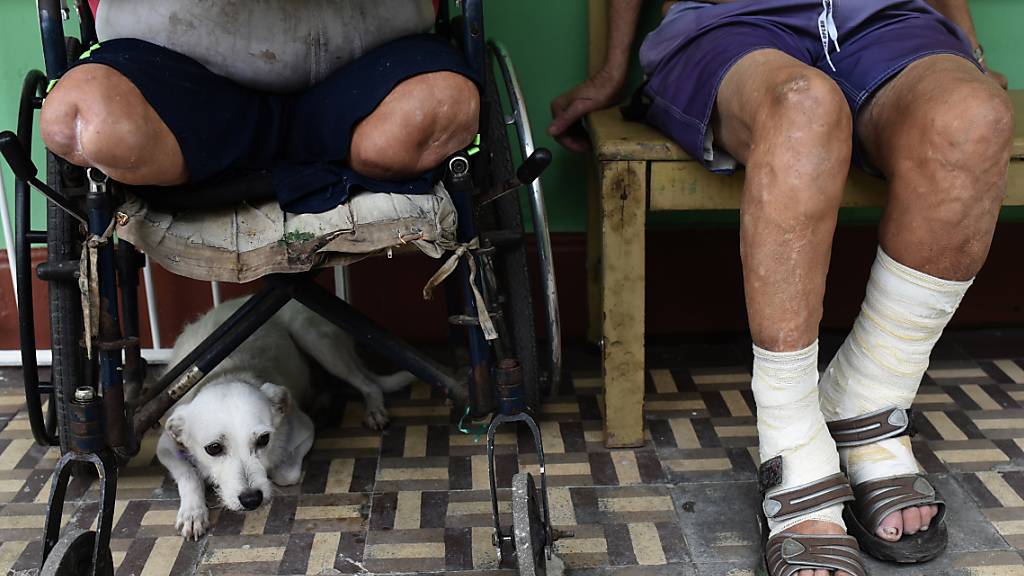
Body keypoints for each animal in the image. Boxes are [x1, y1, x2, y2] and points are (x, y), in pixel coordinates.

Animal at [156, 295, 419, 537]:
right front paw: (193, 513)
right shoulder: (165, 447)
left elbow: (285, 474)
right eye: (213, 448)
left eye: (264, 439)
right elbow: (189, 474)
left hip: (315, 339)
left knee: (368, 384)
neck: (226, 374)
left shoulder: (304, 430)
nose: (251, 499)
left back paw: (372, 409)